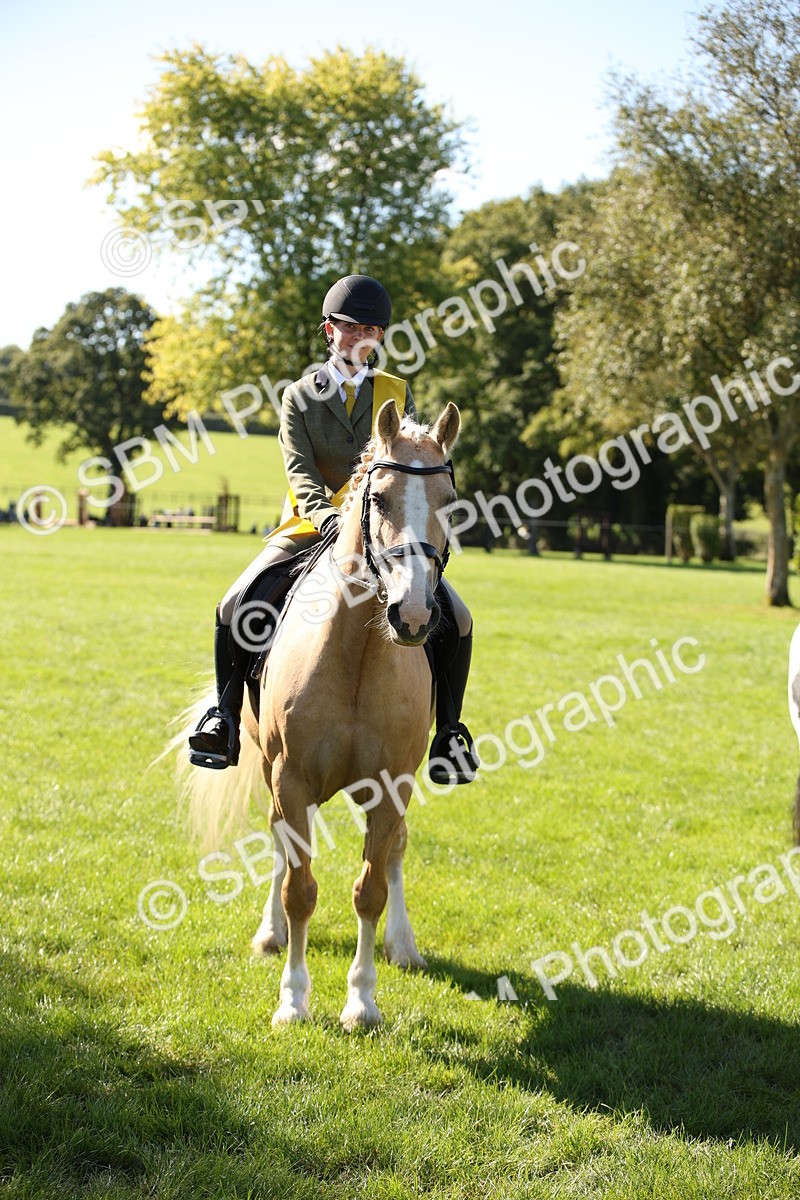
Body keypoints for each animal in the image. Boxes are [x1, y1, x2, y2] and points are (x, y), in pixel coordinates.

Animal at [182, 399, 462, 1030]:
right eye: (379, 497)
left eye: (449, 502)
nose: (413, 614)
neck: (357, 650)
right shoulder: (291, 780)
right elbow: (300, 889)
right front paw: (292, 1000)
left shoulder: (392, 786)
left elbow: (370, 889)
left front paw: (361, 1002)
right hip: (269, 770)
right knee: (280, 848)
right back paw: (271, 934)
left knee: (395, 852)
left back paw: (403, 946)